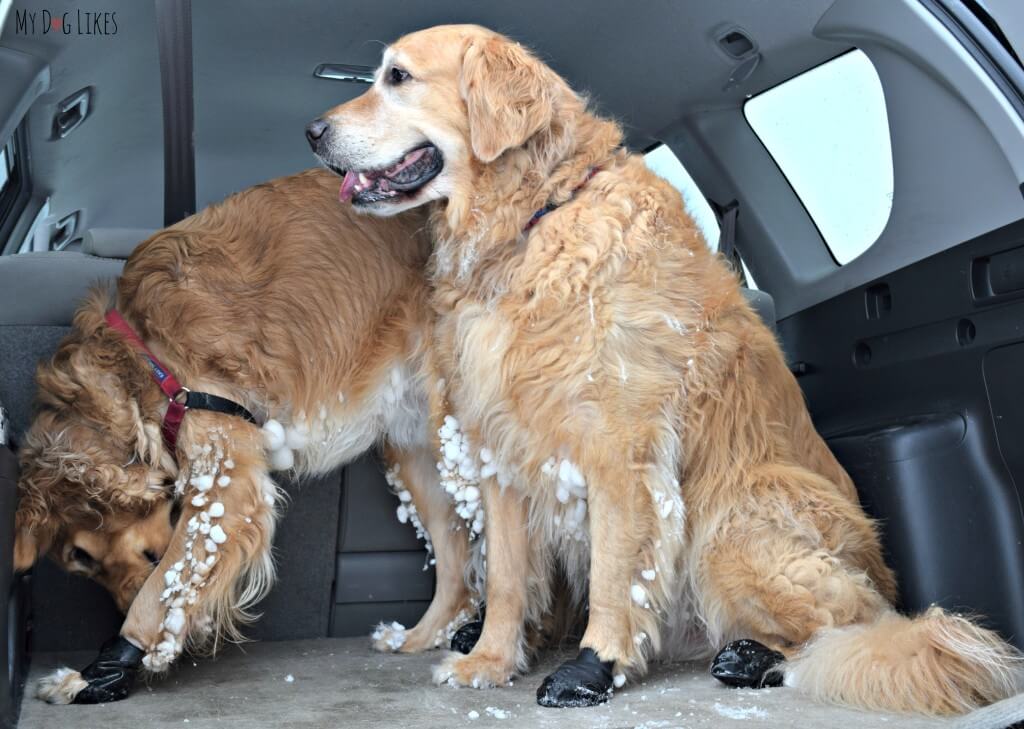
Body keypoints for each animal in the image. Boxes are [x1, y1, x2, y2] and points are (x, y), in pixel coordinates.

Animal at [311, 22, 1024, 716]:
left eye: (398, 76)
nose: (313, 132)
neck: (537, 219)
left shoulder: (619, 450)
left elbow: (614, 575)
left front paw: (594, 668)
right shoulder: (500, 453)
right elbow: (510, 578)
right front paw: (489, 660)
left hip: (731, 525)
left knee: (853, 623)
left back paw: (762, 660)